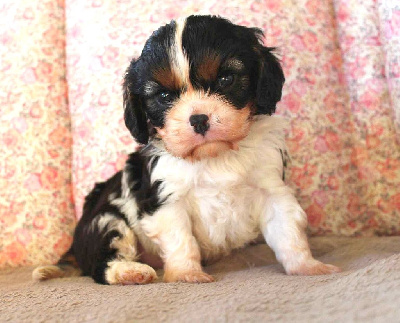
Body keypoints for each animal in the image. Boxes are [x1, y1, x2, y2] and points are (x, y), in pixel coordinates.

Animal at [33, 15, 340, 284]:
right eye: (164, 96)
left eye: (226, 80)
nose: (199, 119)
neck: (214, 156)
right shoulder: (166, 199)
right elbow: (181, 239)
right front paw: (186, 274)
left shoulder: (271, 189)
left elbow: (287, 231)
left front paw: (307, 266)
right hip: (107, 220)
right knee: (102, 262)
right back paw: (130, 272)